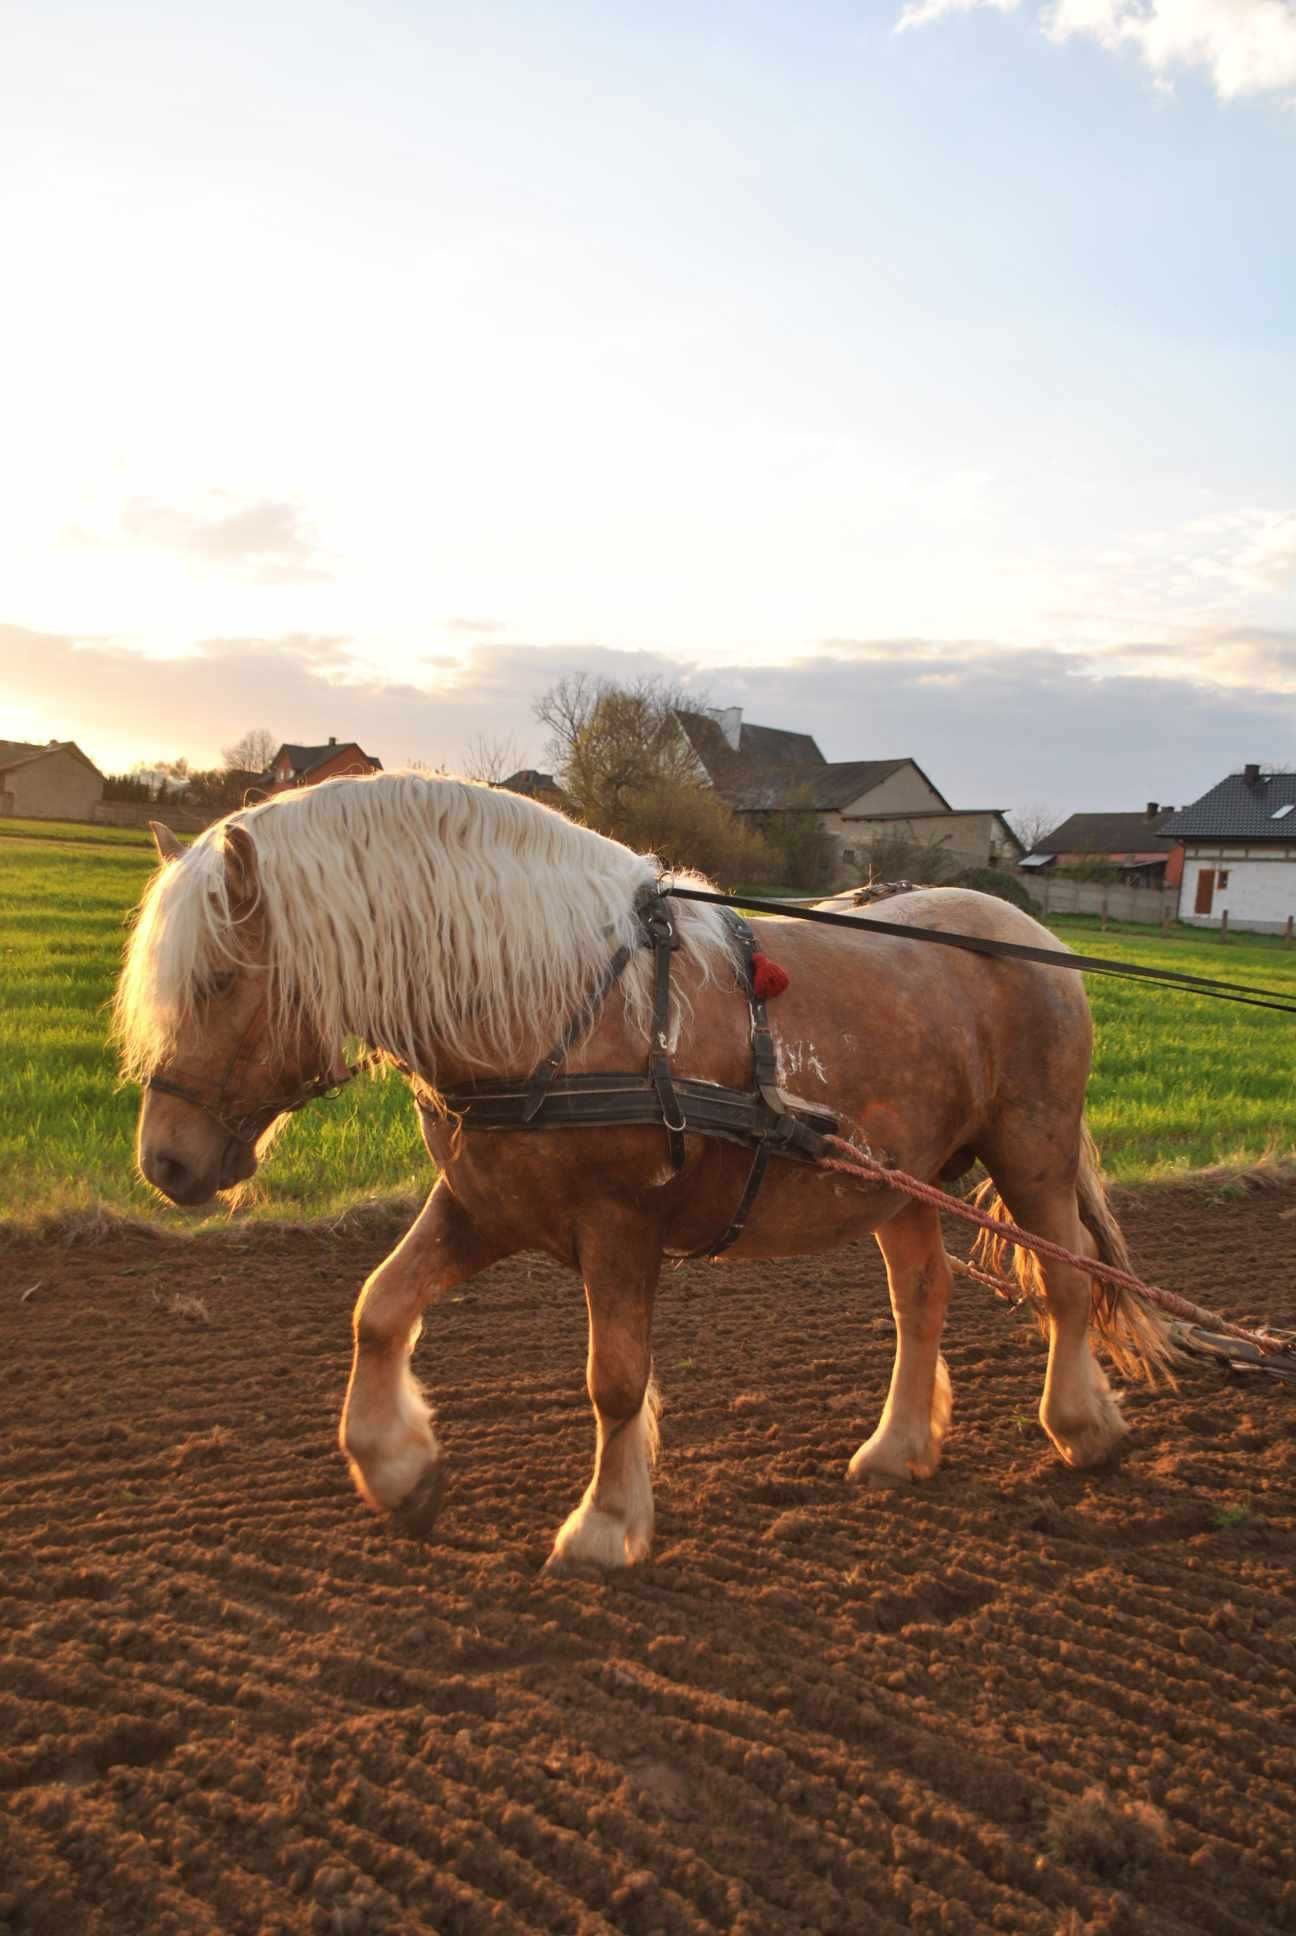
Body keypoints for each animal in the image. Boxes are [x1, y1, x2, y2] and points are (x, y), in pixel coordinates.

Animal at [116, 770, 1170, 1572]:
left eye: (219, 979)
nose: (164, 1161)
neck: (549, 1006)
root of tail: (1032, 937)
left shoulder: (618, 1224)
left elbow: (616, 1380)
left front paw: (606, 1526)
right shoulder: (482, 1203)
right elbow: (379, 1308)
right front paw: (400, 1472)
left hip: (1033, 1147)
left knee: (1067, 1283)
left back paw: (1082, 1426)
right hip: (892, 1175)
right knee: (923, 1298)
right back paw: (899, 1448)